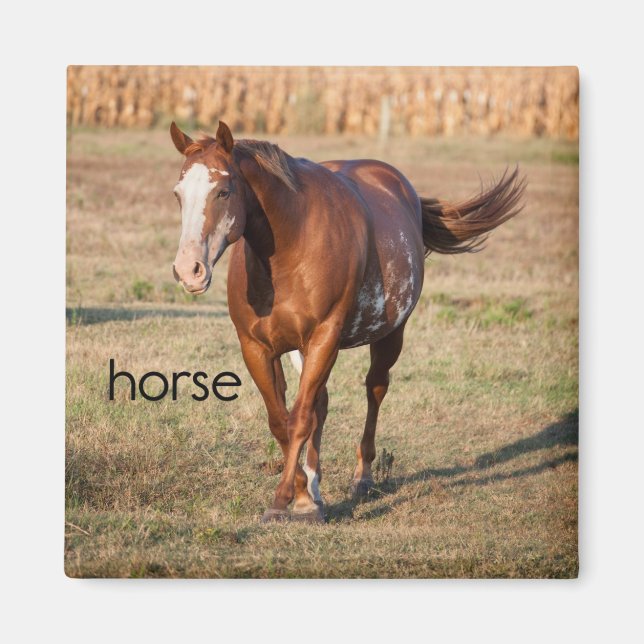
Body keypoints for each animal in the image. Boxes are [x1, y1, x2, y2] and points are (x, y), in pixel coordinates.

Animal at [169, 121, 525, 523]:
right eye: (179, 194)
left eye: (224, 190)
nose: (189, 270)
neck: (291, 245)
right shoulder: (257, 348)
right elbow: (282, 421)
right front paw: (303, 496)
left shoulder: (325, 337)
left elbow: (300, 418)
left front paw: (285, 501)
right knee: (320, 405)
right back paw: (315, 484)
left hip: (389, 336)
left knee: (374, 389)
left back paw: (362, 477)